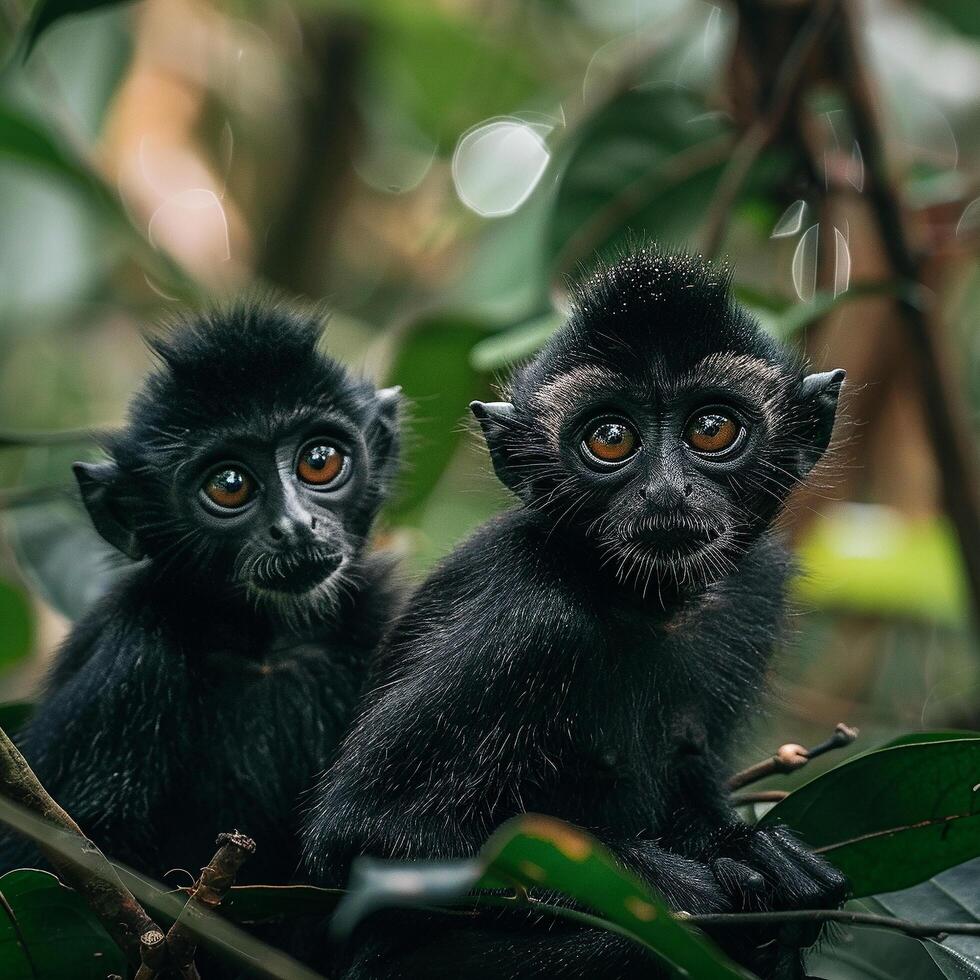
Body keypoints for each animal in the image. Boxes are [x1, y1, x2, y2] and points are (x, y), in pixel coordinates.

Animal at [0, 302, 402, 884]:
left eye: (319, 459)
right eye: (229, 484)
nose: (294, 527)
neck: (266, 646)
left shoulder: (379, 623)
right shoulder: (129, 661)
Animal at [304, 249, 848, 976]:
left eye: (712, 429)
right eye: (611, 439)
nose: (667, 491)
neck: (642, 602)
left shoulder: (754, 592)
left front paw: (765, 862)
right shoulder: (522, 621)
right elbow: (363, 833)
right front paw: (702, 889)